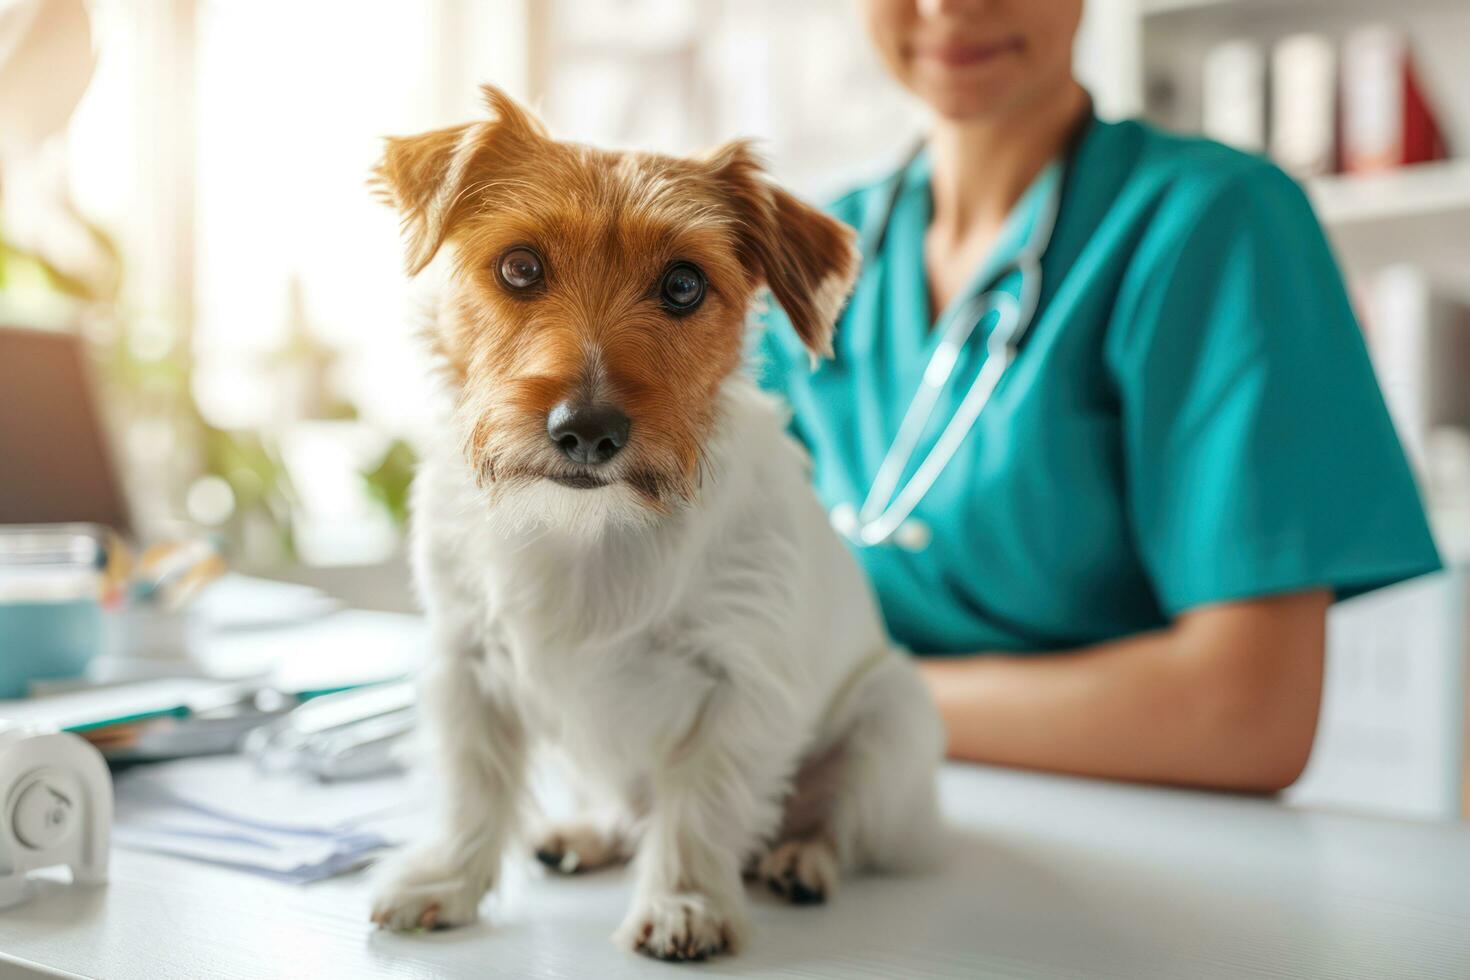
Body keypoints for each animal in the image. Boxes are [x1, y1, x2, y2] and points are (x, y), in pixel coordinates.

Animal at [367, 88, 940, 963]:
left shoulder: (739, 685)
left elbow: (698, 807)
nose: (586, 431)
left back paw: (801, 859)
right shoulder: (466, 664)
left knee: (838, 821)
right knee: (626, 808)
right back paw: (588, 834)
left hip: (894, 722)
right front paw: (446, 882)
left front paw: (684, 903)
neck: (585, 527)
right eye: (520, 266)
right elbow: (473, 788)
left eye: (682, 285)